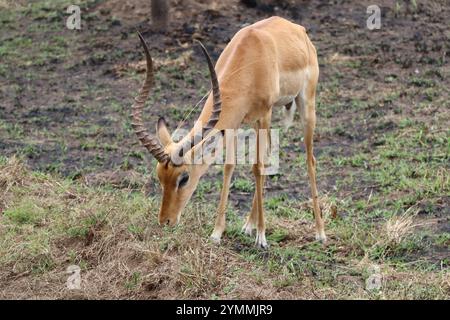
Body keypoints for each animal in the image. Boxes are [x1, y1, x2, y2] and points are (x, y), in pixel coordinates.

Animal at [132, 16, 326, 249]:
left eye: (184, 178)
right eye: (159, 176)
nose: (166, 221)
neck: (251, 56)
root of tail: (298, 30)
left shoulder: (265, 114)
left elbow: (256, 167)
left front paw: (262, 237)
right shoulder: (234, 123)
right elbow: (229, 167)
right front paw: (217, 233)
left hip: (306, 105)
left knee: (309, 160)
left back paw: (320, 233)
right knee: (269, 157)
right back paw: (248, 225)